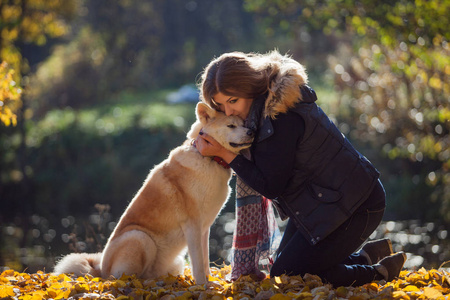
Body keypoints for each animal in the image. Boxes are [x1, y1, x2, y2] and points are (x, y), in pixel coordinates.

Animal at [53, 102, 253, 284]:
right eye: (231, 126)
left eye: (243, 123)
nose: (251, 131)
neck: (209, 159)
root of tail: (99, 269)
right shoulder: (193, 226)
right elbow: (198, 262)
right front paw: (203, 287)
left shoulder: (204, 228)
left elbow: (204, 260)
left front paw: (211, 282)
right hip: (140, 238)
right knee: (124, 279)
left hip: (174, 261)